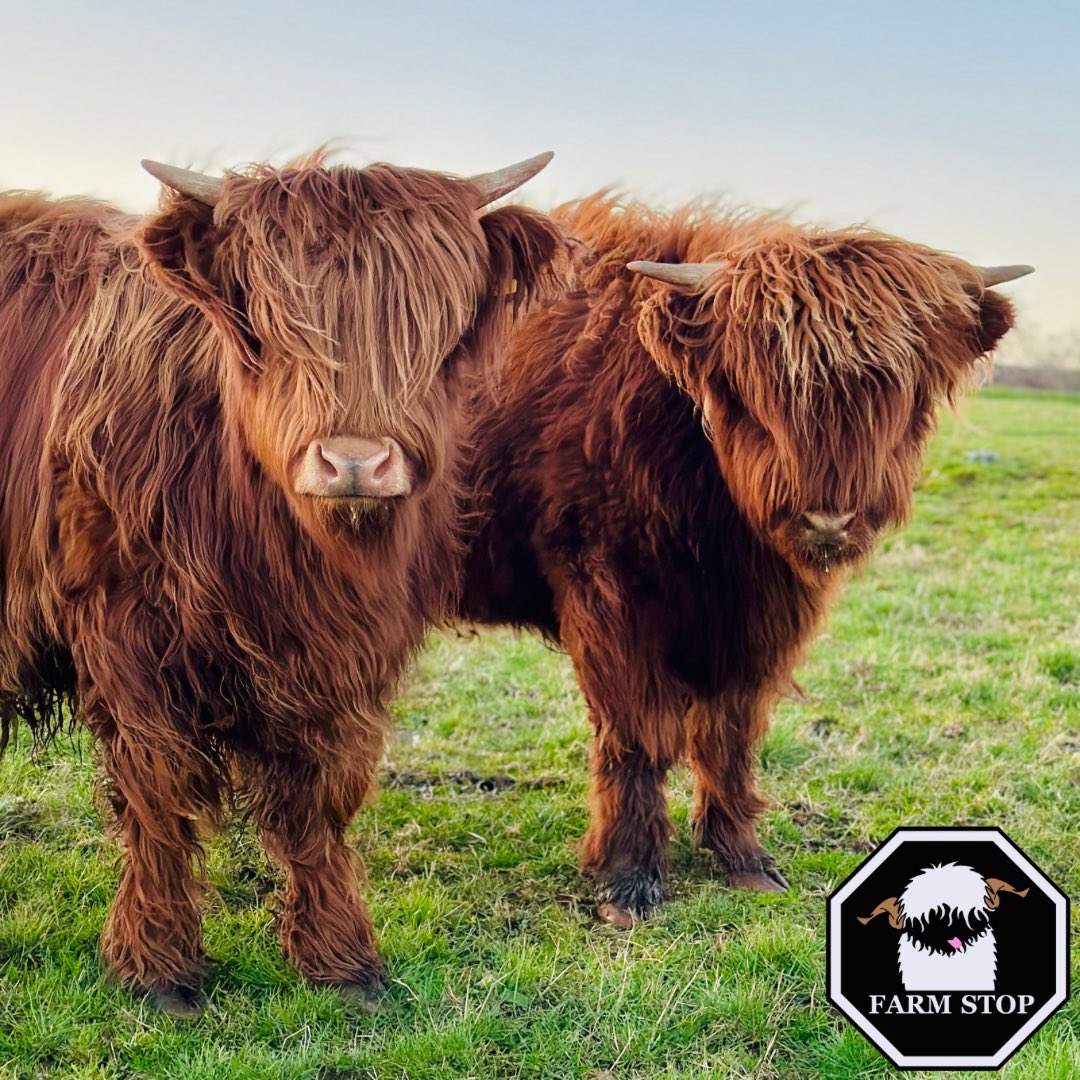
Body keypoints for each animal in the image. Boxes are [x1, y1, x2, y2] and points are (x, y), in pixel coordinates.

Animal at [0, 152, 570, 1010]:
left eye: (425, 329)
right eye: (272, 328)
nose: (356, 463)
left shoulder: (347, 656)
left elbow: (321, 799)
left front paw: (340, 958)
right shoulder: (123, 635)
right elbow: (159, 792)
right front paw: (158, 967)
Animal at [460, 192, 1032, 920]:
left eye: (893, 386)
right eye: (761, 384)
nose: (827, 518)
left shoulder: (759, 617)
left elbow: (728, 735)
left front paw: (743, 858)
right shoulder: (606, 591)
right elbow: (637, 734)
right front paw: (628, 877)